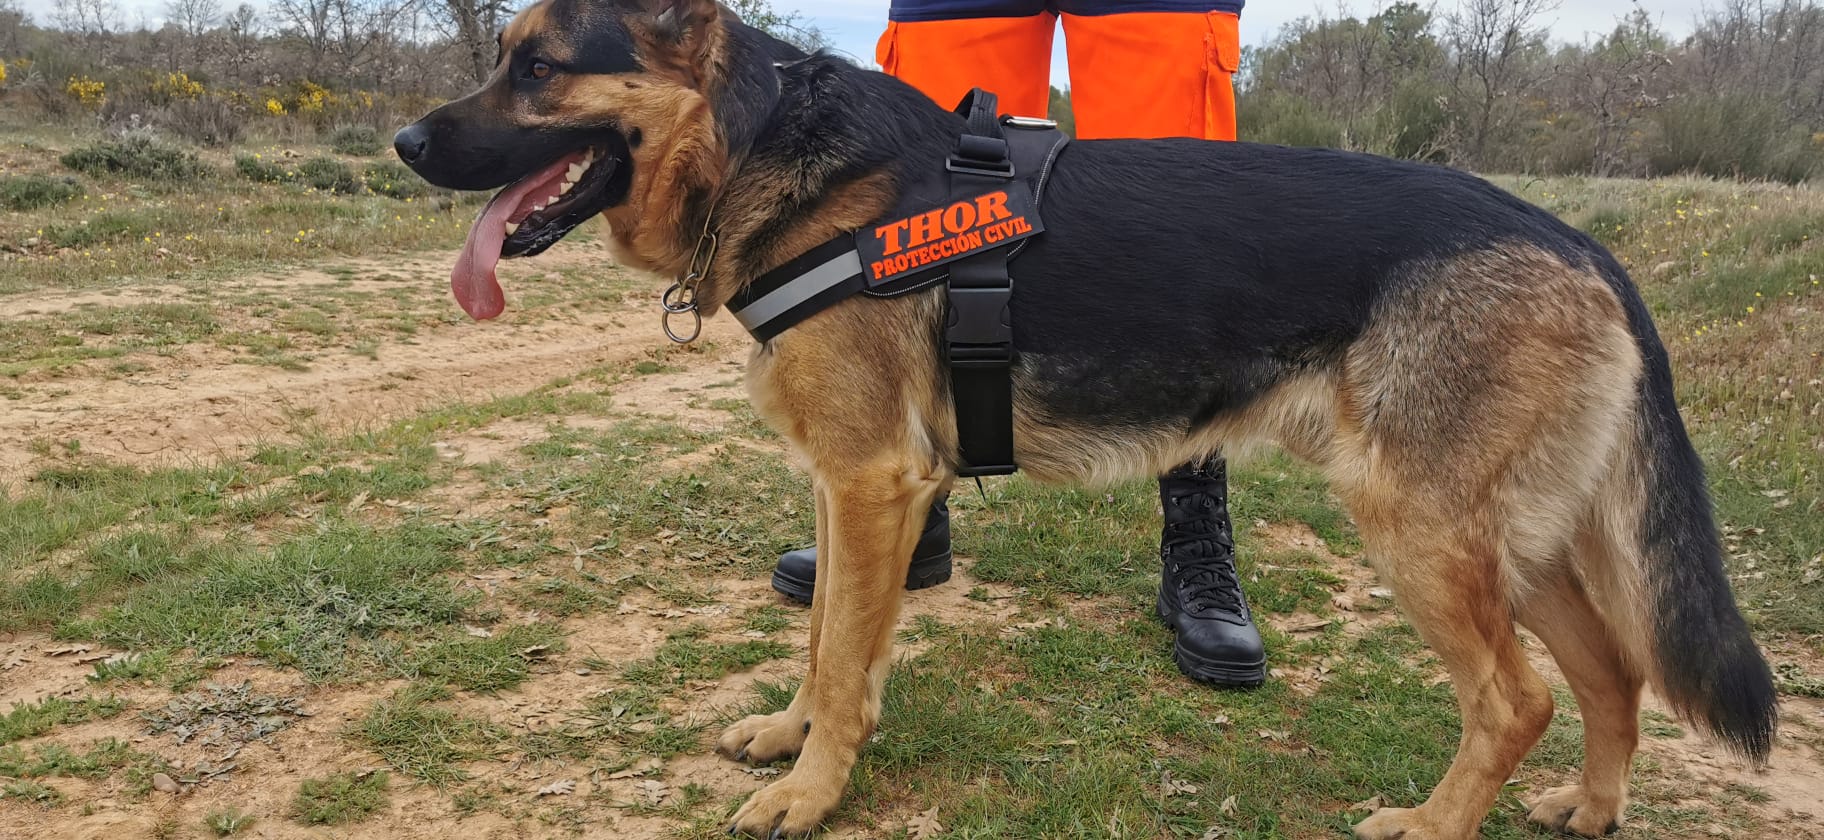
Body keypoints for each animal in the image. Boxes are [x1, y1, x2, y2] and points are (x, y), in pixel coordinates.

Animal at [395, 0, 1780, 827]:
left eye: (538, 69)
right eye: (505, 55)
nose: (405, 142)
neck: (766, 145)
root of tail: (1581, 243)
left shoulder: (872, 483)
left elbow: (844, 658)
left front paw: (812, 792)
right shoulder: (848, 489)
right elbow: (827, 636)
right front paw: (790, 738)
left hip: (1422, 531)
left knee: (1518, 699)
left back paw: (1433, 823)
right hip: (1517, 545)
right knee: (1613, 675)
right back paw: (1588, 809)